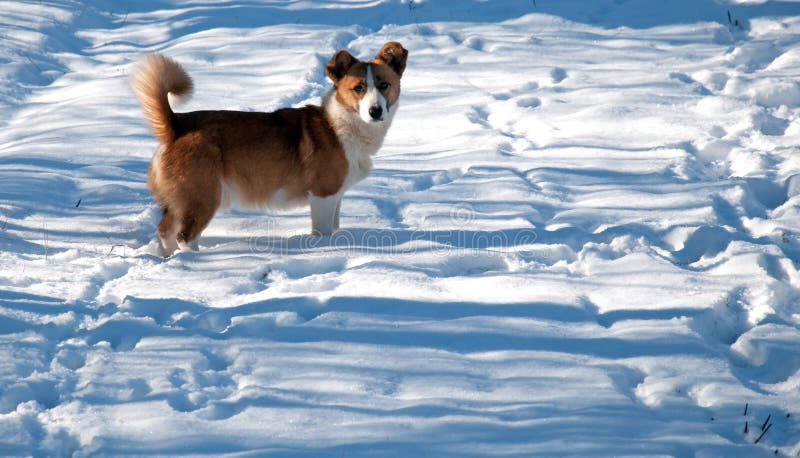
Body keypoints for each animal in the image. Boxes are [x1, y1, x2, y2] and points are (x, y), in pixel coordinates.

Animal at [132, 42, 410, 258]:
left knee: (165, 230)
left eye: (384, 85)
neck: (342, 123)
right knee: (185, 236)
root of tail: (176, 125)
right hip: (203, 198)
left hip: (180, 202)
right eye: (358, 88)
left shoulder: (336, 197)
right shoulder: (323, 196)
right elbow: (323, 232)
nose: (375, 111)